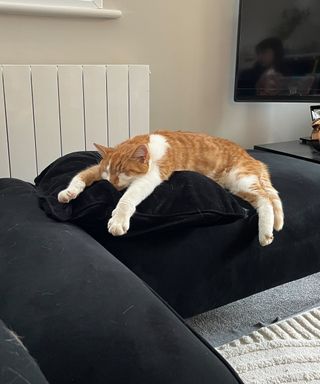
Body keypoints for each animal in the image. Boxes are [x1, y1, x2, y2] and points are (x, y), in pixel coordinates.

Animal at [57, 131, 282, 246]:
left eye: (123, 172)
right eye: (108, 172)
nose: (111, 184)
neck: (149, 146)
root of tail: (253, 159)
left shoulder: (151, 177)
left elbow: (127, 198)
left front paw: (118, 221)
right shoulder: (97, 170)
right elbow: (80, 176)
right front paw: (68, 192)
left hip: (240, 178)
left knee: (266, 200)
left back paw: (265, 233)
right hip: (237, 186)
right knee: (263, 199)